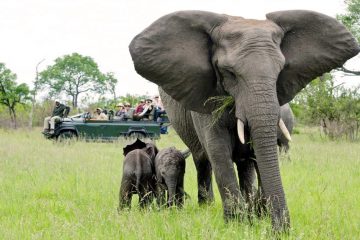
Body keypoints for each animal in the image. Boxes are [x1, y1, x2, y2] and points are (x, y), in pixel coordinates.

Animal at [128, 10, 358, 232]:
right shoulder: (206, 95)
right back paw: (208, 207)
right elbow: (218, 151)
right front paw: (236, 225)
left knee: (246, 165)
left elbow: (257, 153)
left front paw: (256, 218)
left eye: (280, 71)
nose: (279, 231)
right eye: (230, 73)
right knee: (202, 159)